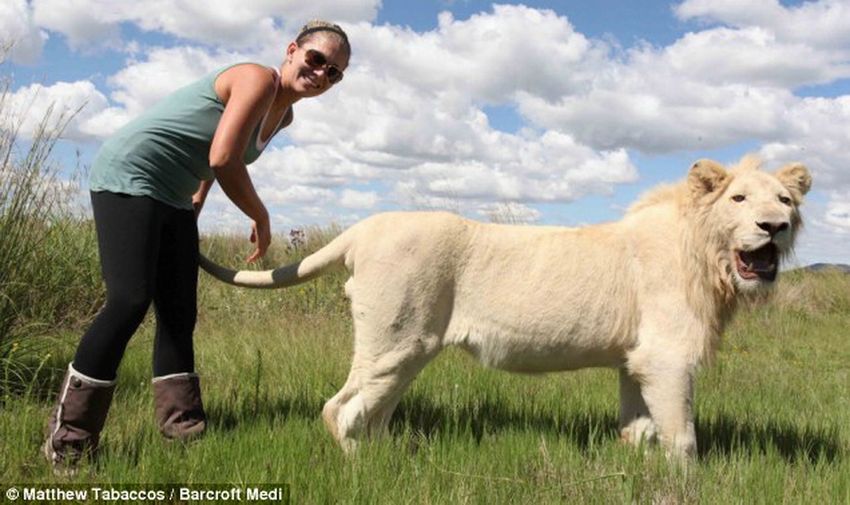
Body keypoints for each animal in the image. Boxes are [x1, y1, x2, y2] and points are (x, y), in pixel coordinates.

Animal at [199, 156, 808, 458]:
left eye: (785, 200)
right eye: (739, 199)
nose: (774, 227)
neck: (708, 257)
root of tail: (362, 228)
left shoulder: (634, 360)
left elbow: (639, 432)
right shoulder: (667, 358)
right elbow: (682, 439)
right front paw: (681, 486)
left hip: (406, 350)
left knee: (366, 411)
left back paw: (383, 461)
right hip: (397, 341)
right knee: (341, 409)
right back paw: (363, 473)